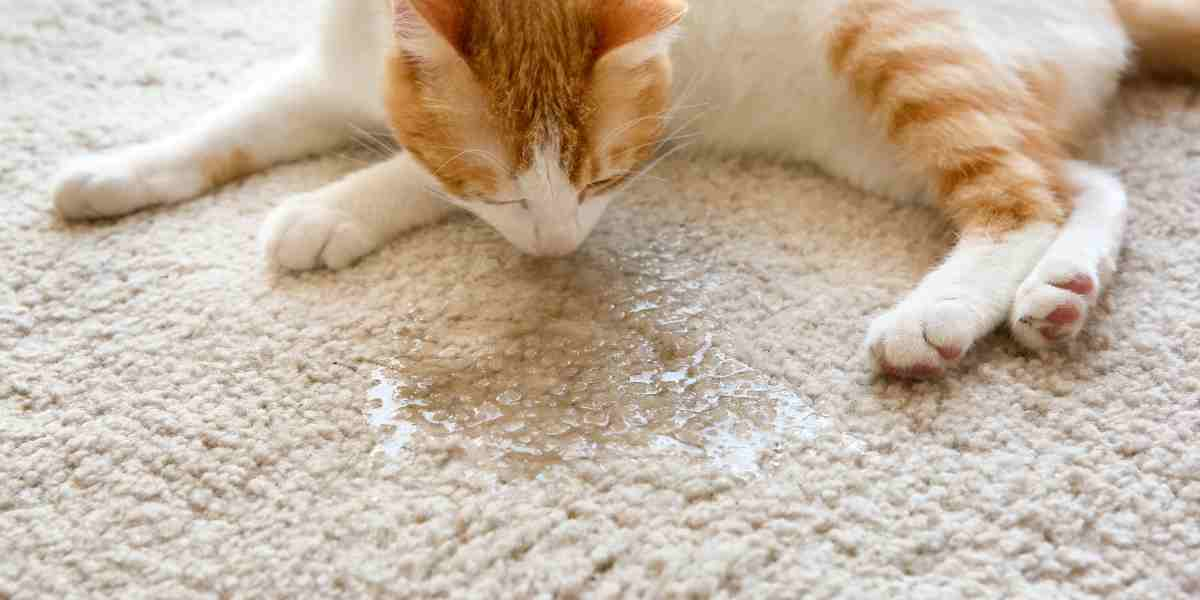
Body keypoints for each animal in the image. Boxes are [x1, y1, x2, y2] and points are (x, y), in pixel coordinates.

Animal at [54, 1, 1200, 379]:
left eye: (600, 177)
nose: (558, 251)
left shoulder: (647, 129)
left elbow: (418, 172)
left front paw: (329, 207)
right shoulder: (326, 70)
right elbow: (232, 122)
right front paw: (114, 169)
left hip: (897, 48)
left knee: (1021, 194)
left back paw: (944, 315)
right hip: (874, 145)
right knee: (1083, 178)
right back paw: (1061, 294)